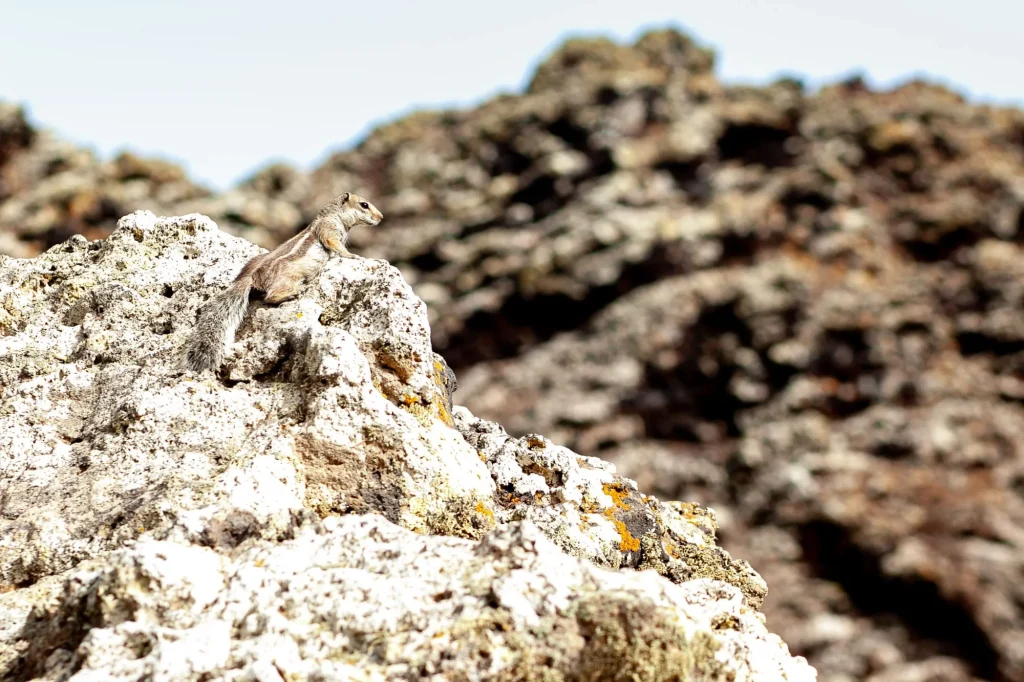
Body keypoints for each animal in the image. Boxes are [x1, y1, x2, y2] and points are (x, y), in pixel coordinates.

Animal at [184, 192, 383, 373]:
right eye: (364, 205)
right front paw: (353, 255)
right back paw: (294, 293)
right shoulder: (328, 231)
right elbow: (335, 245)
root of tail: (252, 278)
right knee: (270, 297)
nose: (381, 217)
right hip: (289, 278)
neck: (335, 216)